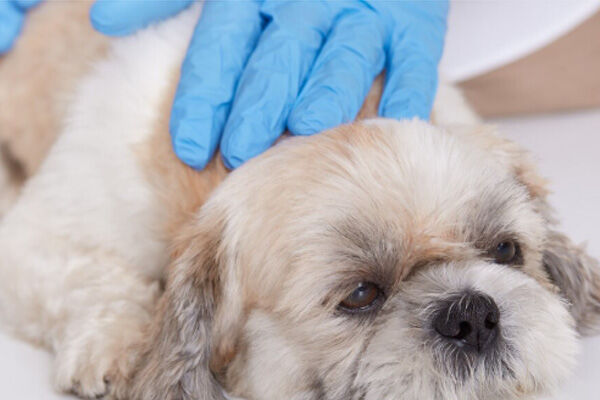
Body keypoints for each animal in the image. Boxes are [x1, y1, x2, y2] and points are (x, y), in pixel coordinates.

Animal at [0, 2, 598, 400]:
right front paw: (116, 344)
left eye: (506, 251)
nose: (471, 313)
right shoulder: (38, 238)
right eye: (359, 294)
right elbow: (93, 278)